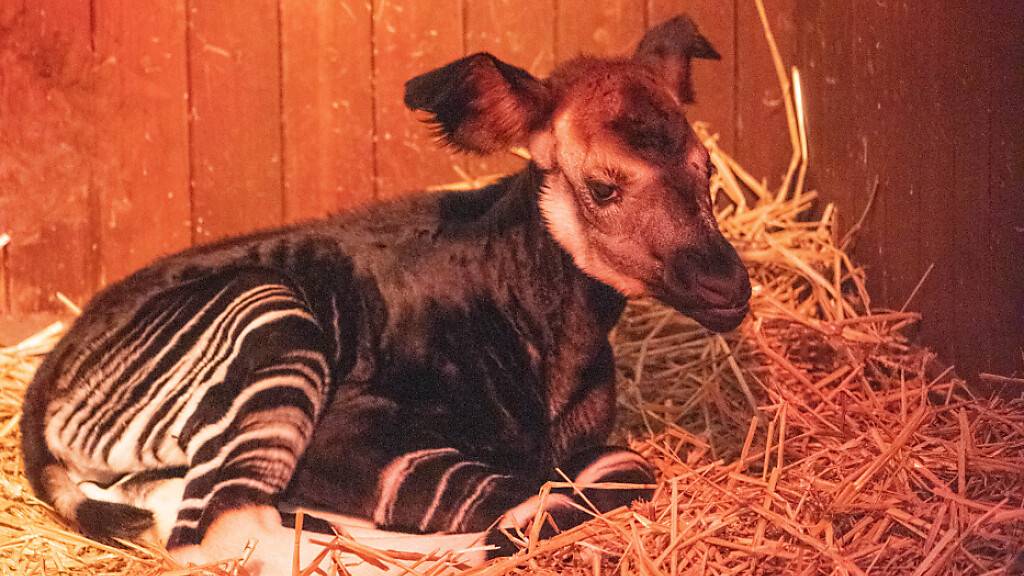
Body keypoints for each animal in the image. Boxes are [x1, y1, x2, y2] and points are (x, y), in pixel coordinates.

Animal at [18, 13, 753, 573]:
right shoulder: (353, 436)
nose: (728, 284)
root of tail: (51, 375)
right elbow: (519, 493)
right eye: (603, 186)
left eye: (706, 169)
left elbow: (616, 469)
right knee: (218, 530)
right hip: (273, 324)